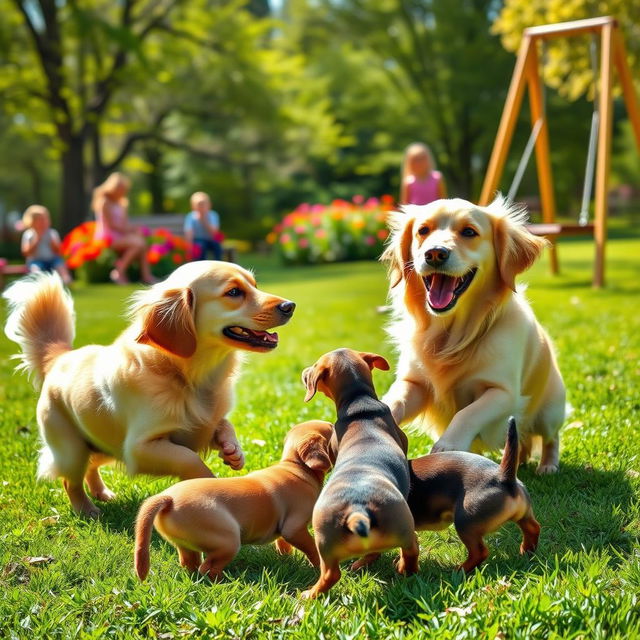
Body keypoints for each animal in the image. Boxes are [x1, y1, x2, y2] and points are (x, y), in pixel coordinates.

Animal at [3, 260, 296, 516]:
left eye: (255, 285)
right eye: (233, 292)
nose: (290, 305)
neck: (187, 375)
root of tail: (59, 357)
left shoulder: (202, 425)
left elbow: (224, 426)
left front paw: (233, 452)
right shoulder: (139, 448)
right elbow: (189, 459)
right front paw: (207, 485)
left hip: (102, 445)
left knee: (91, 469)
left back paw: (102, 494)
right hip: (72, 449)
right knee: (70, 481)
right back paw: (87, 510)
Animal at [135, 420, 336, 580]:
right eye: (332, 429)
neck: (297, 468)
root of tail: (168, 497)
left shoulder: (285, 528)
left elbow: (283, 543)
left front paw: (286, 558)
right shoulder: (294, 528)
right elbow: (312, 548)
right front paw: (318, 566)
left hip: (186, 545)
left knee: (190, 563)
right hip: (228, 539)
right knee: (208, 568)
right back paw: (229, 581)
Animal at [300, 348, 420, 596]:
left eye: (315, 365)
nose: (304, 372)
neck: (359, 401)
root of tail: (358, 509)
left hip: (324, 541)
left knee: (332, 573)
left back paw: (311, 594)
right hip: (399, 527)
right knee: (406, 550)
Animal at [350, 418, 540, 572]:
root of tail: (504, 477)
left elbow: (375, 552)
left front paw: (359, 565)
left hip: (465, 523)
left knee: (480, 552)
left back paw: (460, 570)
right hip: (523, 514)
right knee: (533, 528)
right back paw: (526, 551)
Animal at [380, 198, 564, 472]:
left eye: (469, 232)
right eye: (423, 230)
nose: (434, 253)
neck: (452, 335)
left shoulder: (503, 392)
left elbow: (467, 413)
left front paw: (448, 445)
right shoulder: (413, 382)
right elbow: (394, 400)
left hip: (550, 411)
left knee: (551, 437)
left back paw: (548, 465)